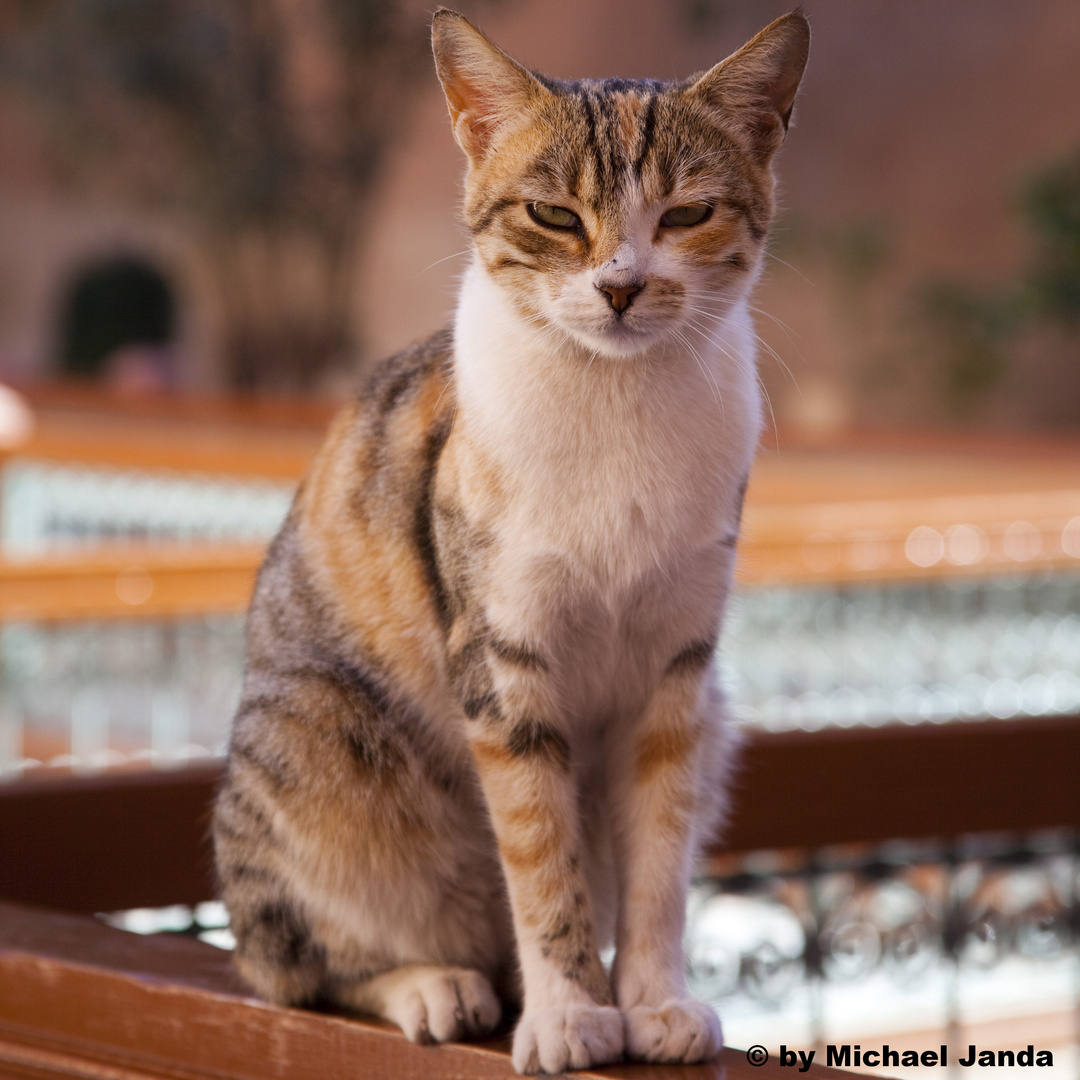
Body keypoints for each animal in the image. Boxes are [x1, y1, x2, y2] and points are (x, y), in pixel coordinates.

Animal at [210, 6, 807, 1071]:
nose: (620, 286)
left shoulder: (676, 672)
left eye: (687, 215)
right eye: (555, 217)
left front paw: (651, 1000)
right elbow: (539, 859)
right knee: (297, 965)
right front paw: (571, 1014)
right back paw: (436, 986)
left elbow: (658, 864)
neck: (619, 399)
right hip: (318, 742)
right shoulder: (503, 656)